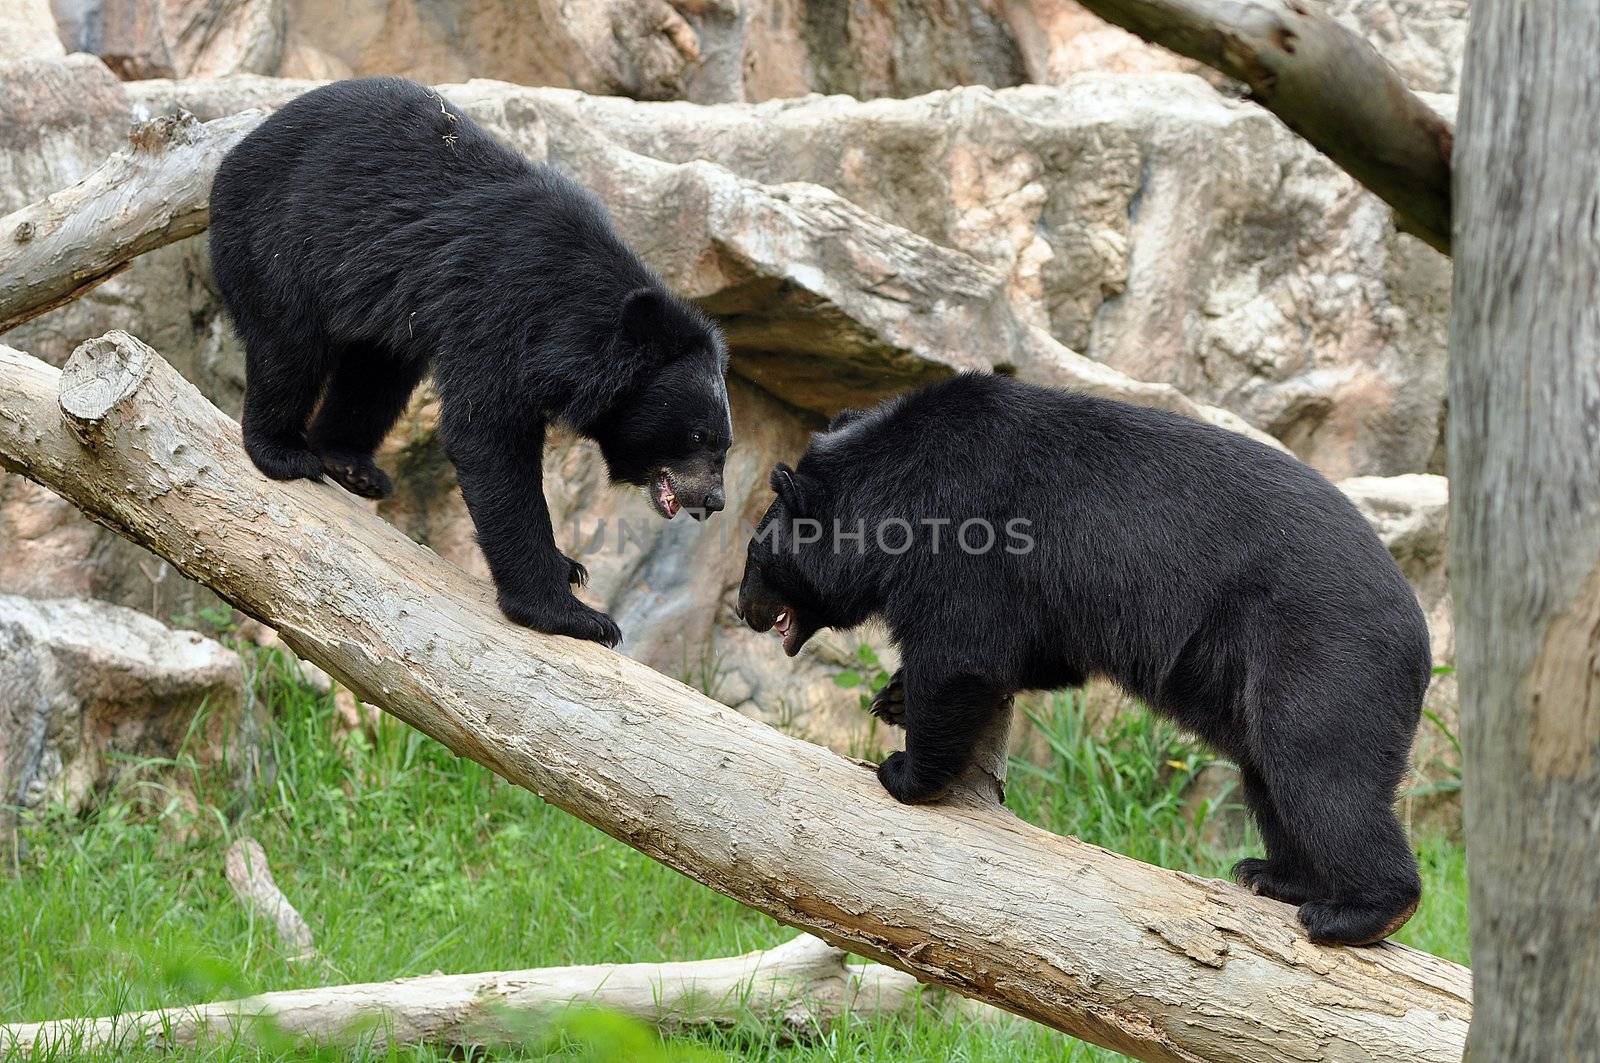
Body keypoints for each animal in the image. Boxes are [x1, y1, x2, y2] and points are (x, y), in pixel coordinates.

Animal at [208, 78, 732, 643]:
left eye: (724, 445)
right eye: (697, 436)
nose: (714, 500)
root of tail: (241, 147)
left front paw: (567, 567)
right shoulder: (500, 310)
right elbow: (488, 439)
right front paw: (571, 614)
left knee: (379, 372)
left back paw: (351, 464)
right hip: (278, 236)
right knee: (289, 346)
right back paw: (283, 452)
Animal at [742, 373, 1433, 947]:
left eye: (754, 556)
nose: (743, 609)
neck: (893, 487)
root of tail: (1420, 636)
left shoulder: (969, 536)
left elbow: (963, 654)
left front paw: (903, 770)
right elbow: (1034, 657)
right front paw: (894, 697)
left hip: (1322, 654)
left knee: (1318, 770)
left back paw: (1356, 912)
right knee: (1271, 776)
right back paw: (1274, 876)